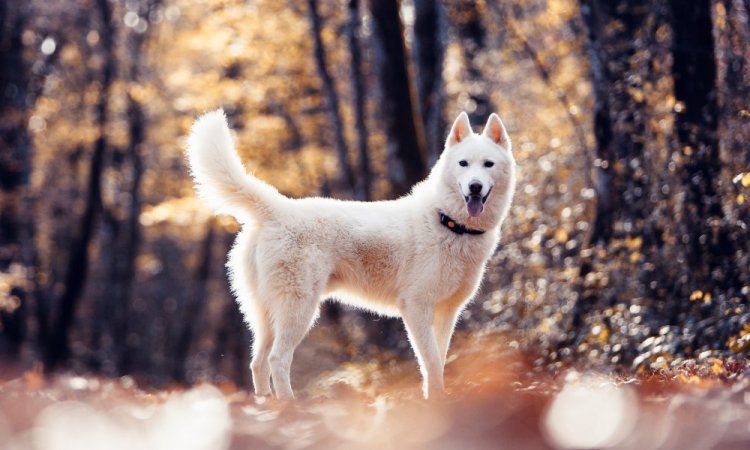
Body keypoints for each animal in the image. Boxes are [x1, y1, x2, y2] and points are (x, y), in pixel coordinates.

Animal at [188, 110, 516, 400]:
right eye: (463, 163)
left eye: (487, 164)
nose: (475, 186)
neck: (448, 222)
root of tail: (277, 209)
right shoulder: (416, 308)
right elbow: (432, 362)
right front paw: (436, 403)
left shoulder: (447, 312)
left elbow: (440, 360)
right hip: (300, 310)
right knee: (277, 360)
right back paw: (289, 405)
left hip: (266, 315)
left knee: (257, 362)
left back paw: (265, 405)